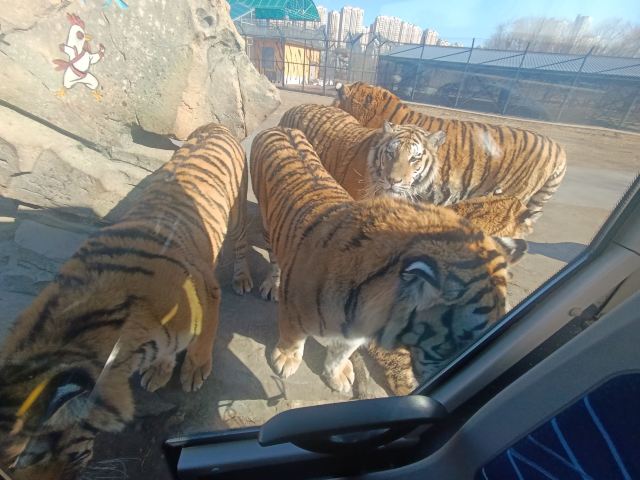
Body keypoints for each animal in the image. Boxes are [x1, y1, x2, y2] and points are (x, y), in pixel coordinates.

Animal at [0, 123, 252, 479]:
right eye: (8, 472)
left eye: (35, 455)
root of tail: (213, 125)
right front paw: (159, 372)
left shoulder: (208, 291)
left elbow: (202, 341)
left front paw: (194, 372)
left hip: (239, 213)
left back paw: (243, 279)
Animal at [250, 126, 526, 394]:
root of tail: (281, 128)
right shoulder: (294, 309)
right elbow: (293, 337)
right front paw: (286, 359)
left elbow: (341, 353)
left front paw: (338, 374)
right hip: (267, 226)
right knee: (274, 260)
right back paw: (271, 285)